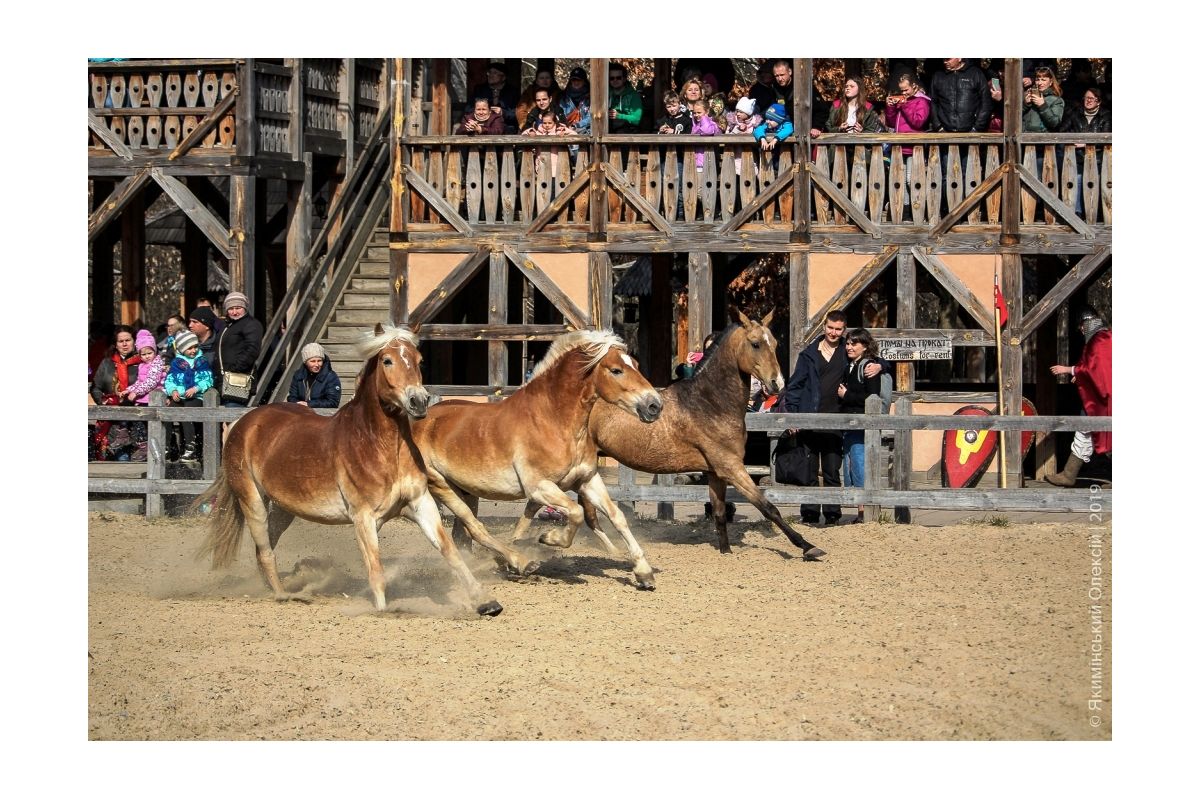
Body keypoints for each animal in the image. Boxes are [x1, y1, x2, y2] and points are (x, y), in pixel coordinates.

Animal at [195, 321, 525, 618]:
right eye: (387, 360)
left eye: (419, 360)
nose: (418, 401)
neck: (379, 447)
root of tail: (243, 423)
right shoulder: (363, 517)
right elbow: (376, 567)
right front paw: (384, 610)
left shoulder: (420, 503)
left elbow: (450, 550)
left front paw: (486, 601)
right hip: (251, 501)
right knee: (264, 550)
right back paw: (283, 595)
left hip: (284, 508)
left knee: (266, 546)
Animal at [412, 328, 667, 592]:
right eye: (616, 370)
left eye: (635, 365)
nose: (654, 405)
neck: (553, 420)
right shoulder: (539, 487)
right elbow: (576, 511)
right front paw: (549, 538)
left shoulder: (587, 480)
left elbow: (618, 517)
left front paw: (644, 573)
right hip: (440, 485)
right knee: (475, 527)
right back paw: (521, 563)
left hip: (467, 490)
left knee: (467, 533)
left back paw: (507, 563)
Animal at [578, 309, 825, 561]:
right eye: (755, 344)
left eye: (774, 343)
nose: (777, 384)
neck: (709, 404)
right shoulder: (731, 467)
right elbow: (768, 507)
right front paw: (808, 546)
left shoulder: (715, 472)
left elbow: (720, 512)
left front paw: (726, 551)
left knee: (588, 512)